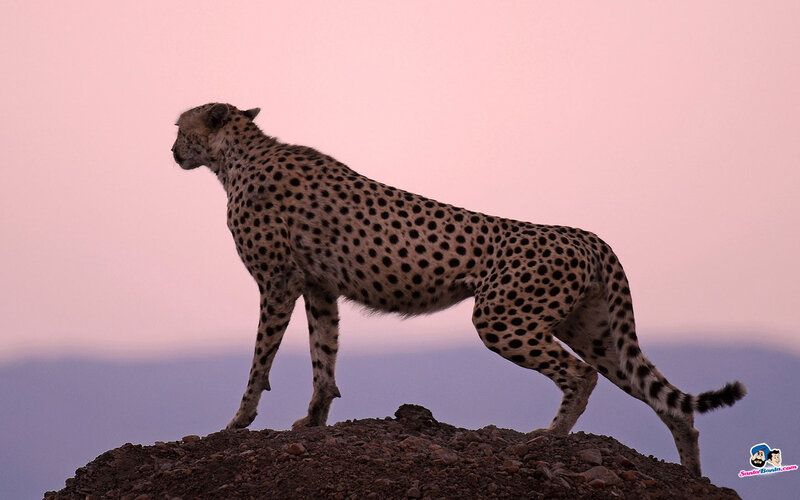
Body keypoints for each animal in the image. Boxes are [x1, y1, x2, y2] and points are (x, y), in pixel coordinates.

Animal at [171, 102, 746, 476]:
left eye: (180, 126)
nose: (172, 149)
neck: (236, 156)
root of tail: (586, 234)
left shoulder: (278, 283)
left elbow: (260, 361)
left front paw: (238, 422)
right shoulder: (319, 287)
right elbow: (323, 358)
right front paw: (313, 420)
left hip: (502, 317)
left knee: (580, 375)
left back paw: (551, 438)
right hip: (593, 330)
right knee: (668, 401)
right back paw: (691, 474)